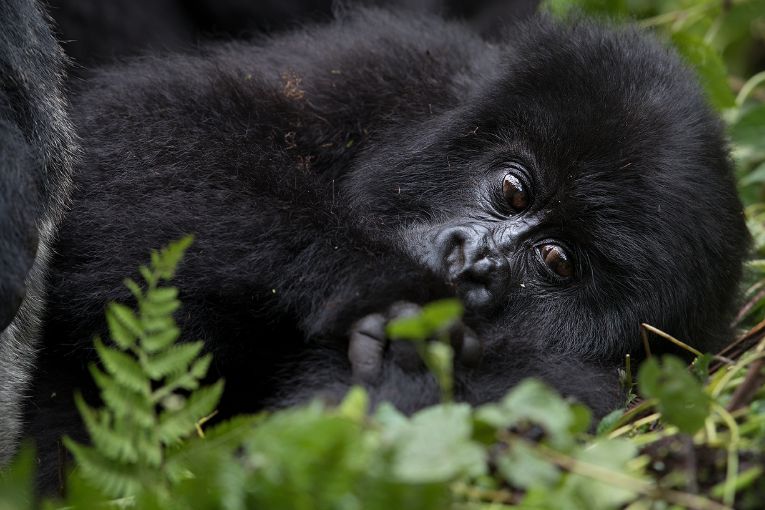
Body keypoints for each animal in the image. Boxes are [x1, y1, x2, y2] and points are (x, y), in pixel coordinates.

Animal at [0, 1, 752, 492]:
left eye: (557, 263)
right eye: (512, 190)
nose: (470, 263)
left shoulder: (583, 395)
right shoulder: (393, 64)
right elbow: (154, 128)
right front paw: (379, 285)